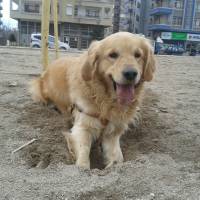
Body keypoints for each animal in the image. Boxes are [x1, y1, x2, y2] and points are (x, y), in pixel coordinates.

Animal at [28, 32, 155, 169]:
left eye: (137, 55)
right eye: (113, 55)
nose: (131, 73)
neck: (105, 100)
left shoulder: (113, 132)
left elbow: (117, 158)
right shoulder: (82, 127)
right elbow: (83, 154)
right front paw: (83, 167)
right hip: (38, 89)